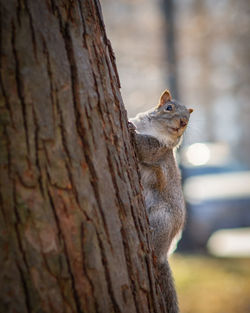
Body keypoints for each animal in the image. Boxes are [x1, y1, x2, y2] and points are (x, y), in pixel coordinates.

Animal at [129, 88, 193, 312]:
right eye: (169, 107)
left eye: (188, 119)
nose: (182, 122)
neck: (152, 129)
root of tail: (166, 252)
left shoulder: (158, 150)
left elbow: (144, 148)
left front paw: (130, 131)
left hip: (162, 219)